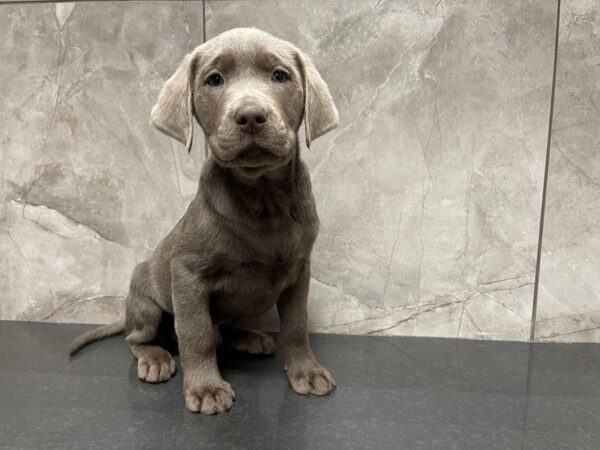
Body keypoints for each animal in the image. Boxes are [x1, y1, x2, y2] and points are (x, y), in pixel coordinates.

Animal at [68, 27, 340, 414]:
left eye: (279, 76)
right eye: (214, 80)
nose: (251, 115)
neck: (262, 200)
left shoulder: (299, 270)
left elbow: (296, 325)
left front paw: (306, 371)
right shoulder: (188, 275)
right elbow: (196, 334)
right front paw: (206, 388)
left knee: (222, 329)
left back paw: (249, 337)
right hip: (146, 300)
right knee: (140, 338)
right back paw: (155, 358)